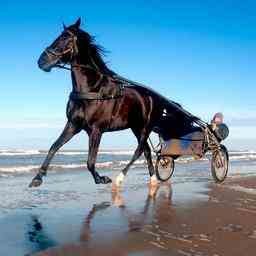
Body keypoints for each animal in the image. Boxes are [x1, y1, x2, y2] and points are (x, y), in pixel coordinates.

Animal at [29, 17, 194, 186]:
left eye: (65, 37)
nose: (41, 61)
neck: (93, 90)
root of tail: (156, 98)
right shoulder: (73, 124)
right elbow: (54, 146)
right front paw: (37, 177)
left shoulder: (96, 129)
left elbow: (90, 161)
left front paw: (101, 178)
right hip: (136, 127)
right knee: (146, 150)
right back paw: (153, 179)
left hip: (145, 127)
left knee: (139, 150)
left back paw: (120, 177)